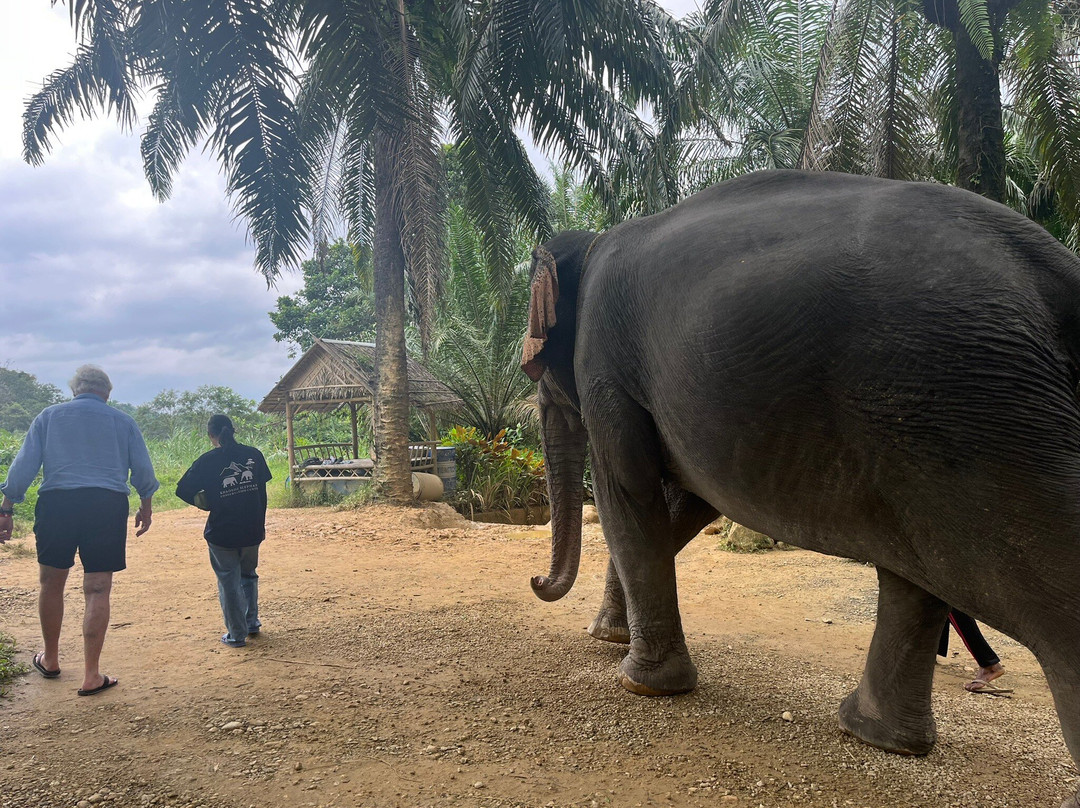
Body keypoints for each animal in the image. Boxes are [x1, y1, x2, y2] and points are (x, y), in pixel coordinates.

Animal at [521, 169, 1080, 807]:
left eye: (536, 363)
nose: (535, 581)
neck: (592, 246)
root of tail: (1057, 272)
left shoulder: (605, 362)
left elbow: (631, 493)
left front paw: (640, 683)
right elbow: (684, 506)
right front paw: (610, 638)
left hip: (976, 414)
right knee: (915, 576)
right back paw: (875, 735)